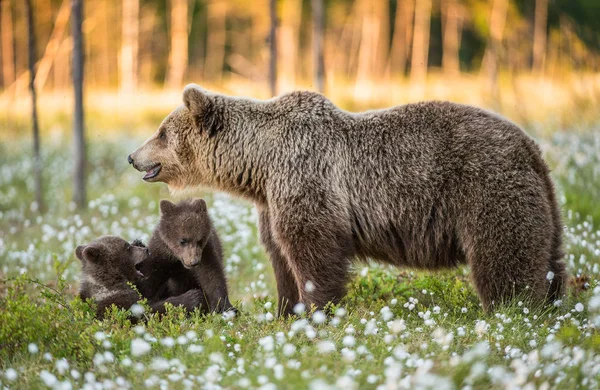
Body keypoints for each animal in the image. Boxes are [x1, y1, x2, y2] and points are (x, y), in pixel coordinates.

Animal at [127, 84, 568, 316]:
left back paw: (512, 309)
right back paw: (552, 302)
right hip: (542, 202)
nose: (133, 156)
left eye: (162, 132)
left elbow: (313, 250)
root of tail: (529, 145)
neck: (259, 165)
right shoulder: (271, 200)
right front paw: (285, 311)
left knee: (503, 255)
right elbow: (280, 254)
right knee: (550, 255)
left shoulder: (306, 177)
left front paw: (314, 311)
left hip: (485, 189)